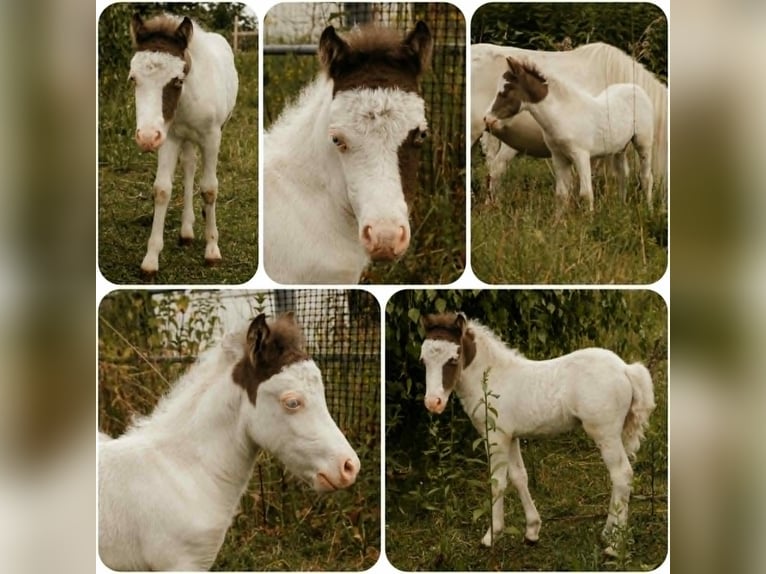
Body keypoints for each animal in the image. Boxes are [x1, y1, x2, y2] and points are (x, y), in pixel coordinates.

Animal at [128, 13, 238, 275]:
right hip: (184, 137)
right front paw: (150, 260)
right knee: (189, 164)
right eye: (133, 78)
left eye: (177, 80)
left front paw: (212, 250)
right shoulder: (168, 136)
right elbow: (162, 189)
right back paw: (186, 231)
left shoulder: (212, 136)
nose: (146, 137)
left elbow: (209, 189)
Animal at [419, 313, 655, 552]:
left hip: (605, 434)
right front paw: (532, 531)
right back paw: (608, 534)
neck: (493, 379)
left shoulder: (496, 436)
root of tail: (625, 368)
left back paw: (615, 546)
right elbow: (519, 477)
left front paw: (492, 536)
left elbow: (497, 483)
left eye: (453, 359)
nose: (433, 402)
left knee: (621, 475)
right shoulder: (511, 436)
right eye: (423, 361)